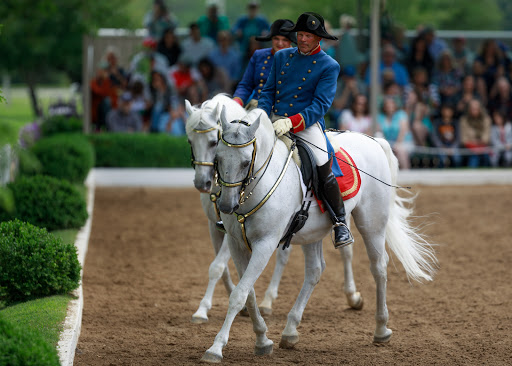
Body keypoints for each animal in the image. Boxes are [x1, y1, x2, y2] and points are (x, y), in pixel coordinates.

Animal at [184, 96, 364, 322]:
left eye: (212, 142)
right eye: (190, 141)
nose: (203, 183)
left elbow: (217, 266)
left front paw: (203, 310)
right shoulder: (216, 226)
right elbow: (221, 268)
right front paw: (229, 305)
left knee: (346, 251)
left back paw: (353, 296)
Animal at [202, 107, 438, 362]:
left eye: (246, 162)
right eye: (218, 158)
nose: (226, 206)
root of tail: (373, 140)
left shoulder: (265, 244)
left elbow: (239, 294)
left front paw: (216, 348)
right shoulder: (236, 244)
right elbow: (248, 293)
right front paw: (263, 340)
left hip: (372, 223)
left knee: (379, 267)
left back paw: (381, 329)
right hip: (311, 232)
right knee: (315, 270)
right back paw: (290, 330)